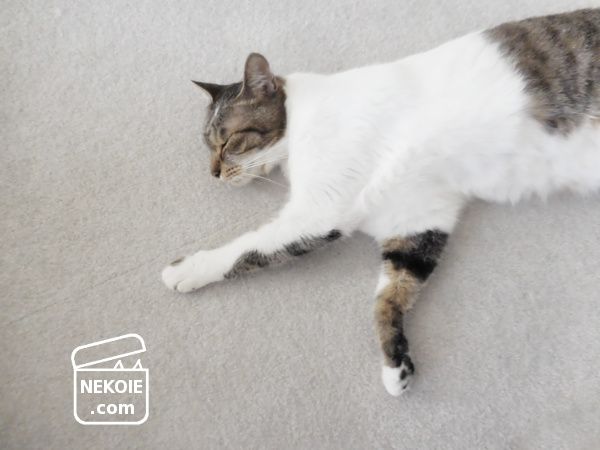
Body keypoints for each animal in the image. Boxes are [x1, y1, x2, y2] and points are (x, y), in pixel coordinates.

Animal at [162, 8, 600, 396]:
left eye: (227, 142)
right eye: (207, 145)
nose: (213, 173)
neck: (300, 123)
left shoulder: (319, 211)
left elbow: (246, 249)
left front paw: (187, 269)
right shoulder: (417, 219)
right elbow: (391, 292)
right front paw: (396, 365)